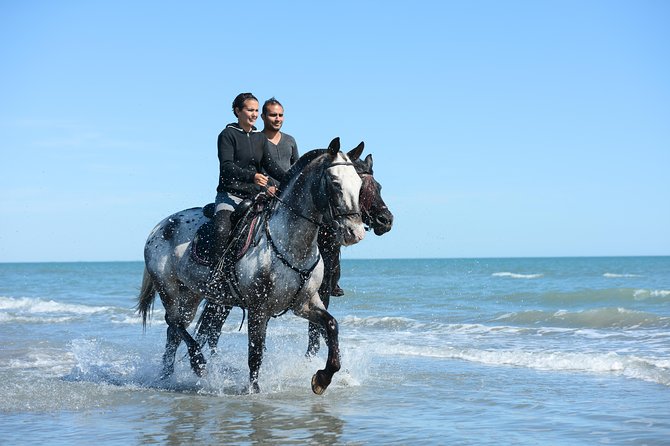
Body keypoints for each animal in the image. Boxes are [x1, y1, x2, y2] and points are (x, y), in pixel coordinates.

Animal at [138, 139, 368, 394]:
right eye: (335, 183)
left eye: (359, 185)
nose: (355, 233)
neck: (290, 242)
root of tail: (159, 227)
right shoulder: (259, 309)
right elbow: (255, 353)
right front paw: (254, 392)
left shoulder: (305, 303)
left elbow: (331, 326)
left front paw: (322, 378)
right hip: (168, 289)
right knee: (174, 322)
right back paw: (198, 363)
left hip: (190, 294)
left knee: (174, 332)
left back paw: (167, 376)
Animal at [193, 144, 394, 358]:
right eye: (362, 188)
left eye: (378, 187)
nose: (386, 220)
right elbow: (316, 332)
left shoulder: (318, 294)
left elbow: (319, 331)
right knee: (210, 328)